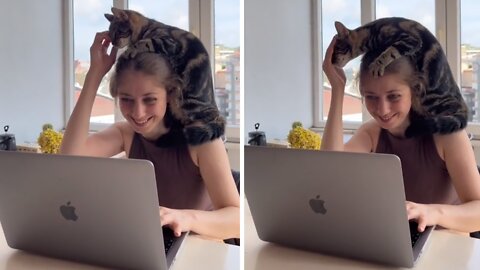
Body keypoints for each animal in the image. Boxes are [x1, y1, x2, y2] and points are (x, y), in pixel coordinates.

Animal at [104, 6, 224, 146]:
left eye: (117, 32)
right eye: (110, 34)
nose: (113, 43)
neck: (148, 27)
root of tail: (215, 108)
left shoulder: (169, 43)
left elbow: (146, 42)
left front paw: (129, 51)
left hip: (189, 105)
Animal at [332, 16, 466, 137]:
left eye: (336, 48)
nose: (332, 62)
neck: (372, 31)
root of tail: (463, 105)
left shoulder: (411, 39)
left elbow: (390, 51)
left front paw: (377, 64)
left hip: (432, 101)